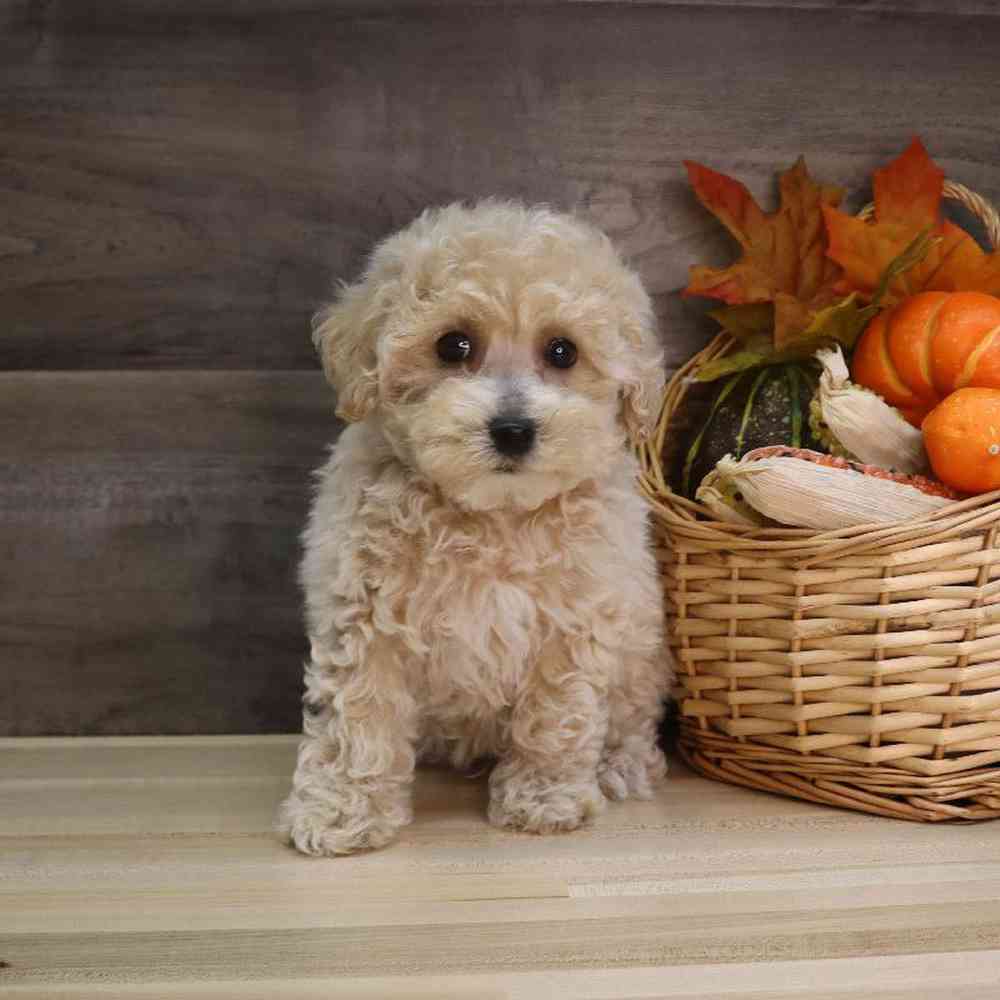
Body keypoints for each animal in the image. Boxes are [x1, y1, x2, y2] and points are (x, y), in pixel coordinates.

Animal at [278, 199, 672, 856]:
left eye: (562, 352)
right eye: (452, 345)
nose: (512, 430)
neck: (491, 517)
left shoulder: (574, 621)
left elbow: (555, 718)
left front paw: (545, 799)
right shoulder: (364, 619)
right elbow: (356, 720)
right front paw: (340, 813)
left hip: (641, 658)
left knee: (632, 720)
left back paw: (623, 766)